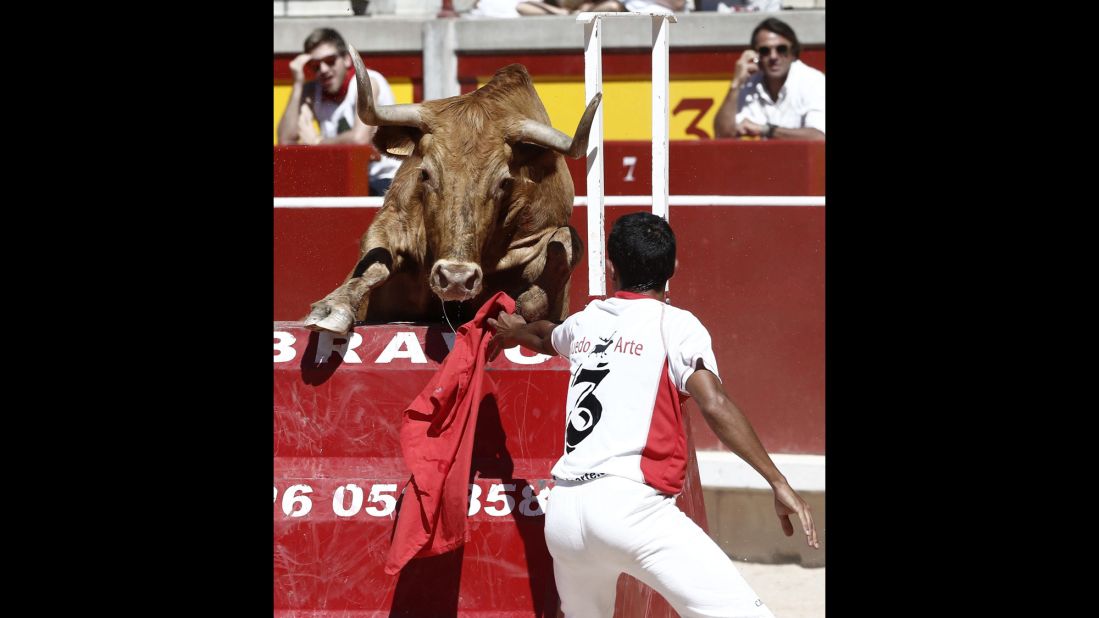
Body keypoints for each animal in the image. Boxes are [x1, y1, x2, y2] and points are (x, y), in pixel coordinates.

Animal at [303, 45, 602, 334]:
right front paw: (331, 308)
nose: (456, 279)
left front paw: (522, 305)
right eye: (424, 173)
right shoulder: (393, 219)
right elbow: (374, 259)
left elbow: (567, 242)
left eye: (503, 182)